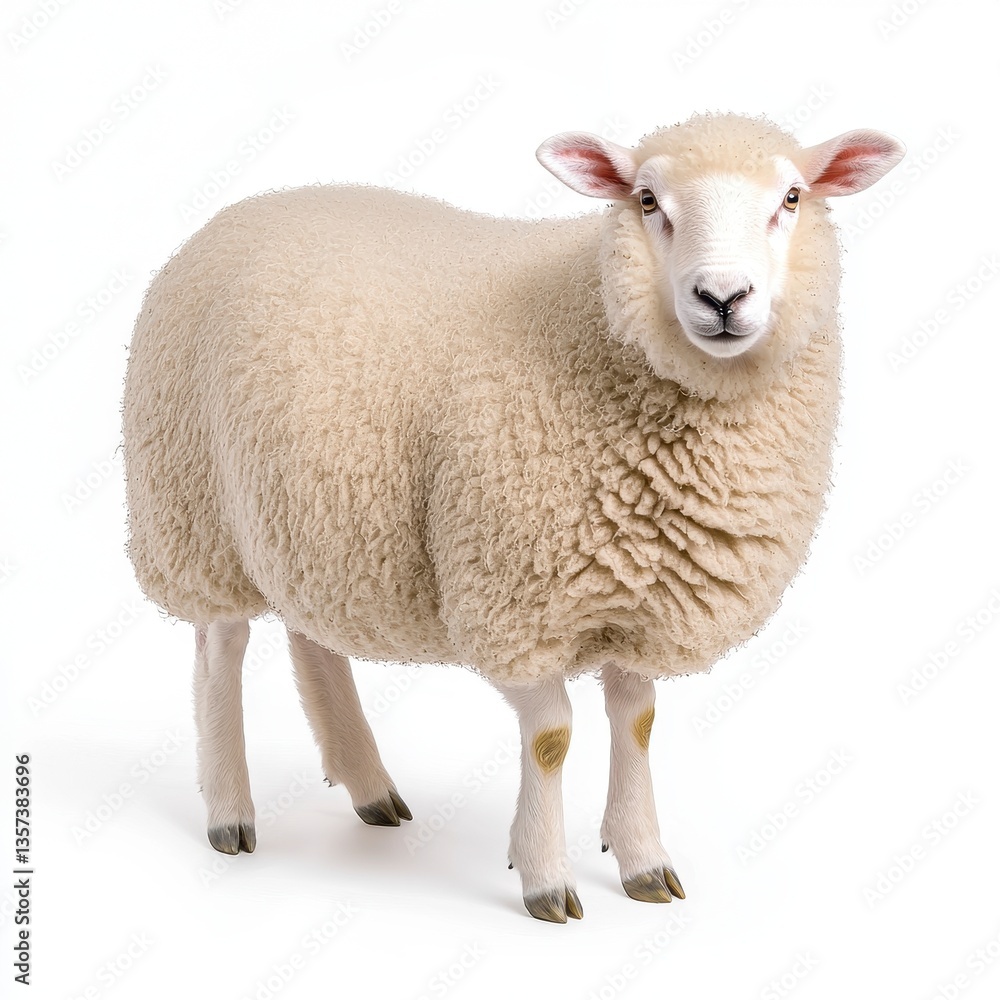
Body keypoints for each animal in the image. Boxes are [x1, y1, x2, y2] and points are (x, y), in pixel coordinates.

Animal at [122, 112, 904, 922]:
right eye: (647, 200)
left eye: (792, 197)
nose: (722, 295)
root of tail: (241, 211)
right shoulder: (514, 596)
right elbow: (552, 738)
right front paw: (545, 878)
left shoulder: (645, 600)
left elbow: (638, 722)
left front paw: (642, 860)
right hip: (193, 510)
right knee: (220, 649)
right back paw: (229, 813)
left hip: (308, 514)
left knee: (314, 638)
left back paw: (369, 786)